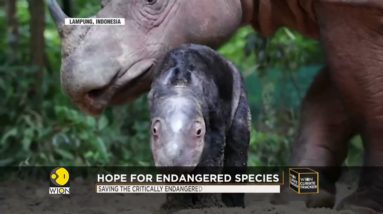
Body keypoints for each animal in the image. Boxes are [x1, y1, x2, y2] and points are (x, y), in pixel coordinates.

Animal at [148, 44, 250, 209]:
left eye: (199, 131)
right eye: (154, 130)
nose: (175, 162)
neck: (180, 87)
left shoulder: (214, 119)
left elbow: (212, 157)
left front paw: (209, 205)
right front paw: (176, 206)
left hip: (240, 94)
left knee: (237, 144)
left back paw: (234, 205)